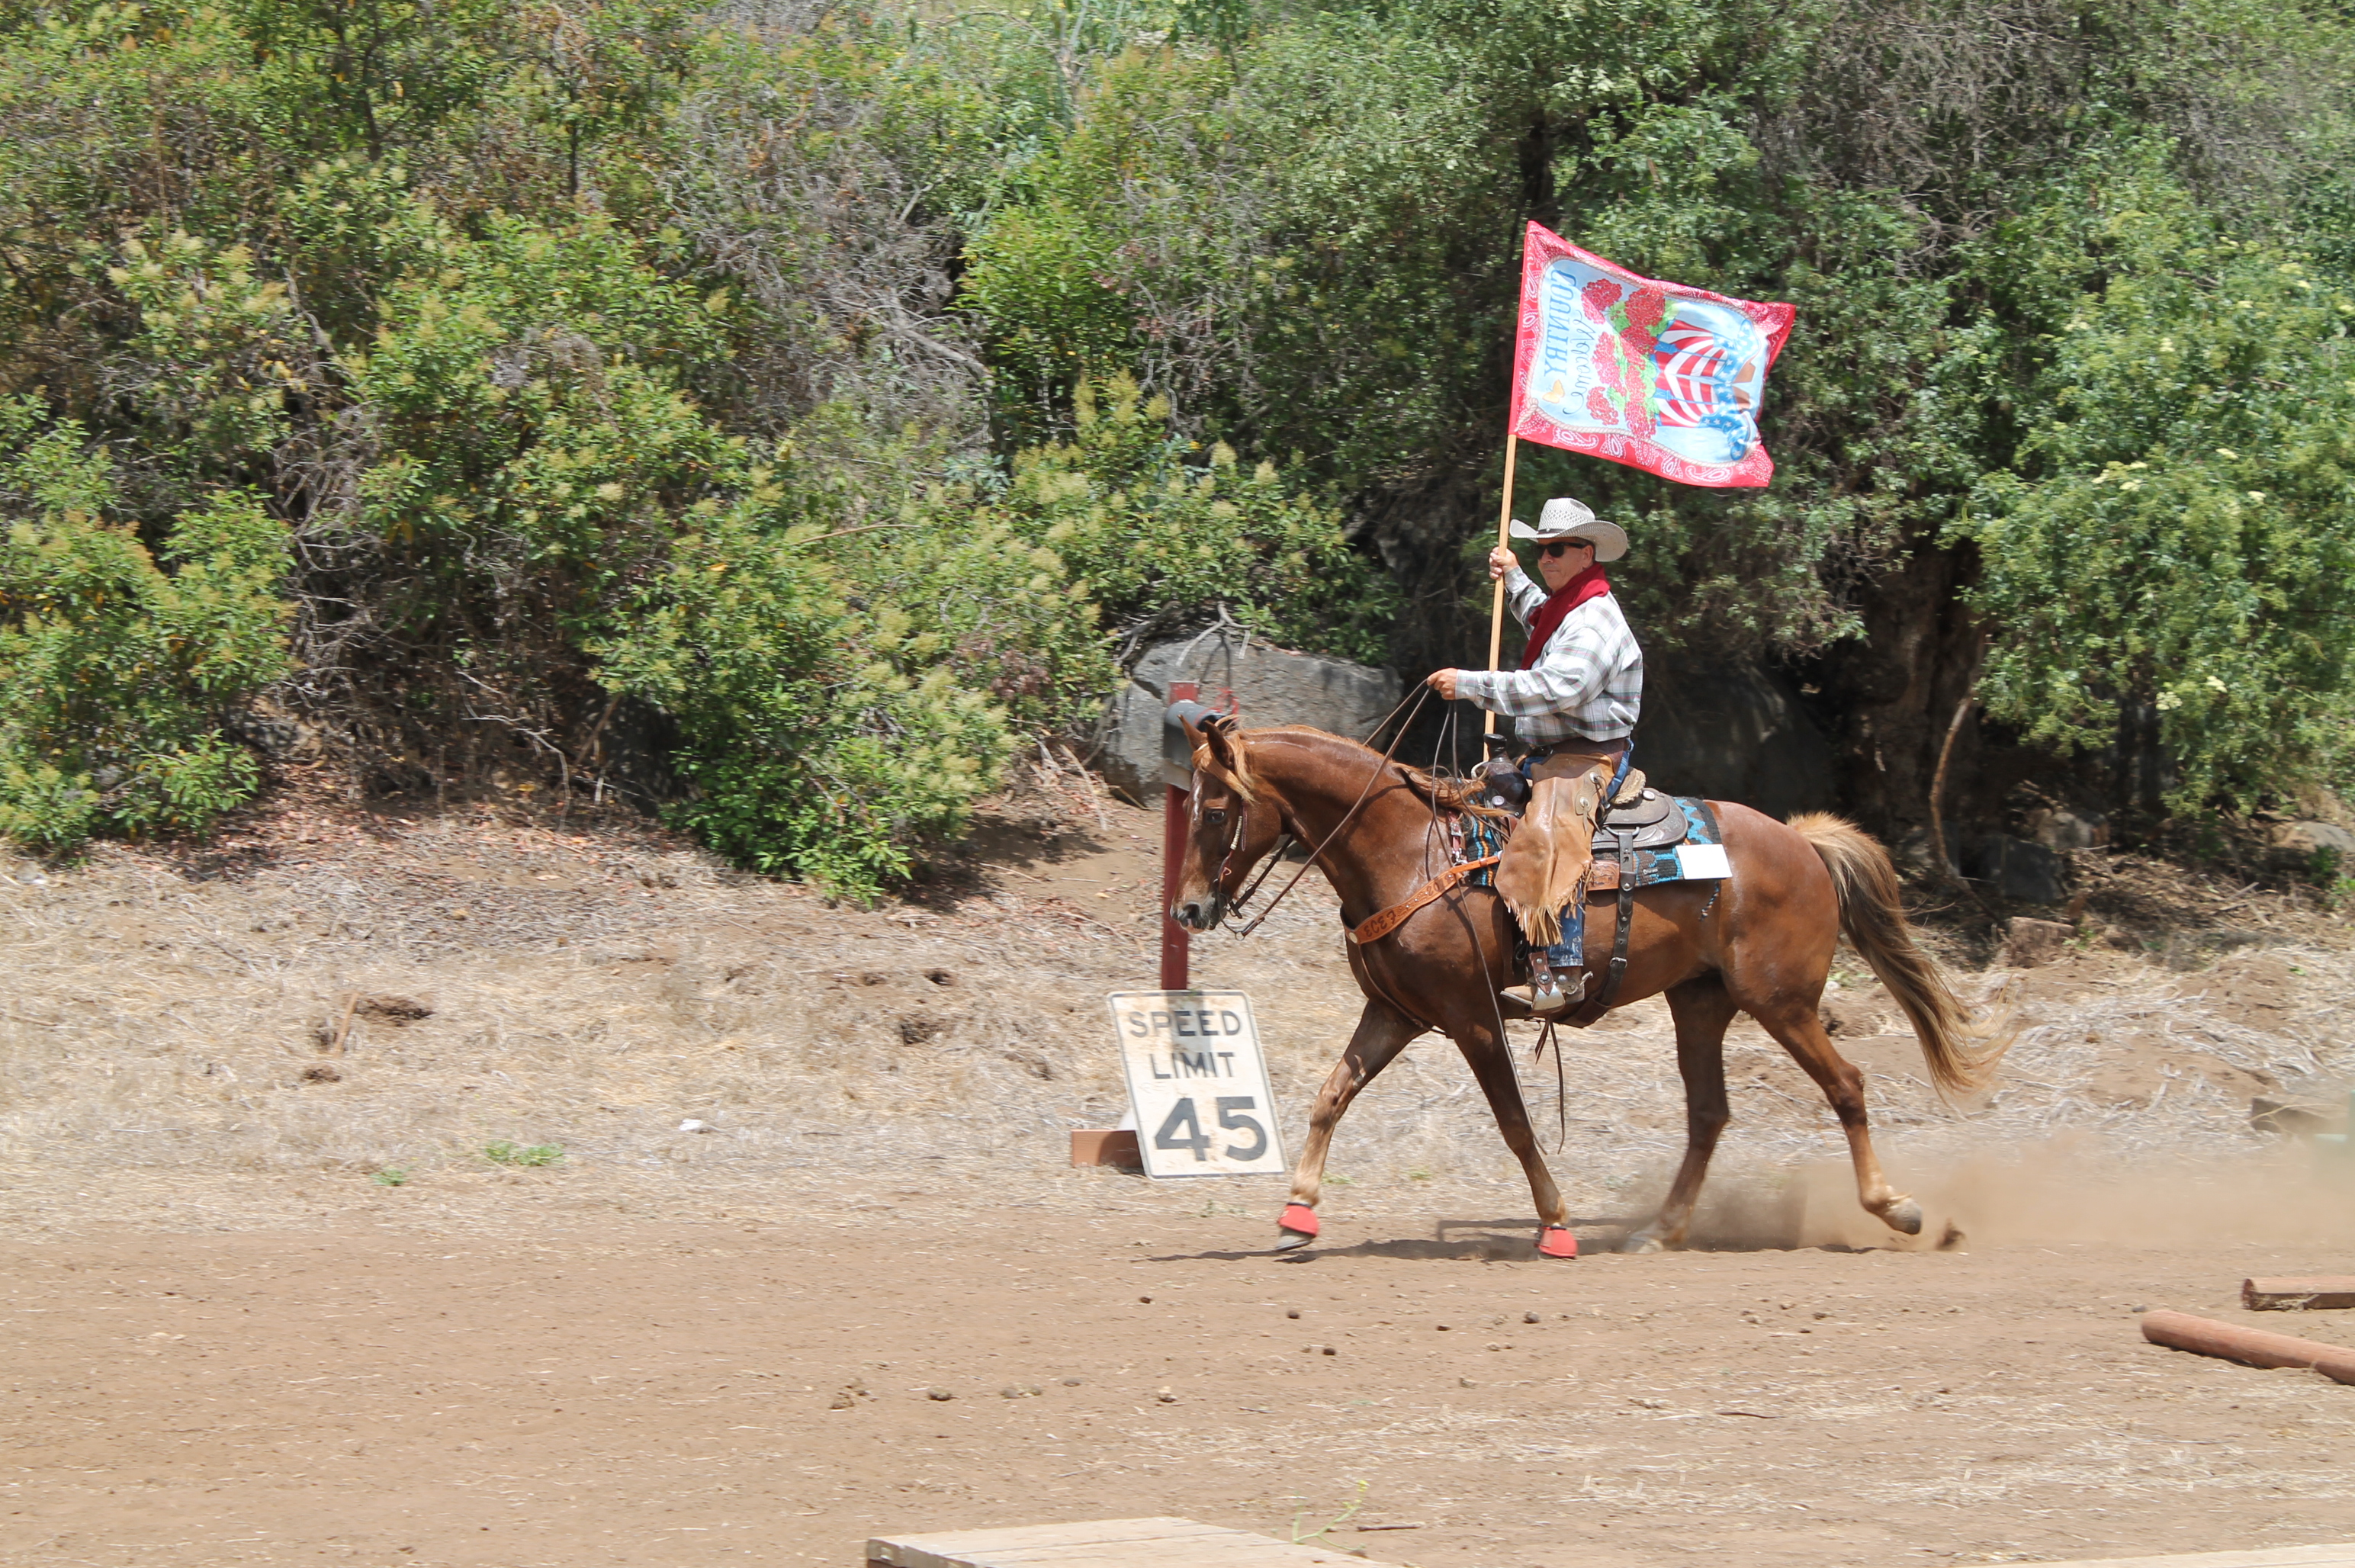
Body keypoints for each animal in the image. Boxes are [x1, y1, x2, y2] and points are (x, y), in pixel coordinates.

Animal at [1168, 715, 1997, 1252]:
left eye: (1217, 808)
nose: (1188, 909)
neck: (1408, 848)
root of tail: (1802, 842)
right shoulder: (1396, 1011)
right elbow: (1330, 1096)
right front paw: (1297, 1212)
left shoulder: (1471, 1017)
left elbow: (1512, 1122)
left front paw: (1557, 1223)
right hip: (1701, 1003)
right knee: (1709, 1114)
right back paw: (1661, 1230)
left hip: (1781, 1002)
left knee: (1846, 1086)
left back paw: (1895, 1208)